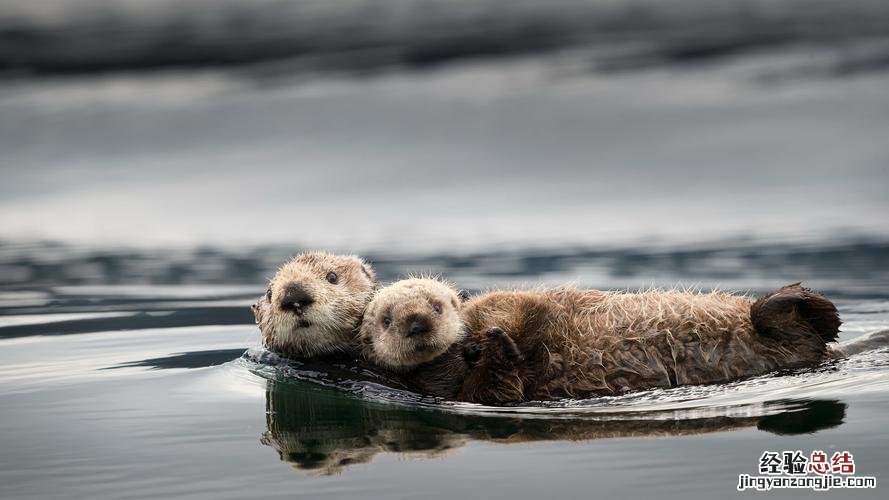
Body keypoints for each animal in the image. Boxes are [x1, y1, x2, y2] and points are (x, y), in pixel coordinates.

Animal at [358, 280, 844, 404]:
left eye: (437, 305)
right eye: (387, 319)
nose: (417, 323)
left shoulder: (503, 304)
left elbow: (515, 307)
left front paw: (497, 337)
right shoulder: (469, 392)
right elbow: (497, 384)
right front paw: (500, 350)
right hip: (791, 344)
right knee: (799, 335)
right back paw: (795, 304)